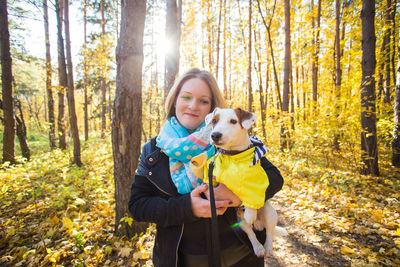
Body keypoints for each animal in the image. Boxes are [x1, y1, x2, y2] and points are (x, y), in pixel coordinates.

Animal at [190, 108, 286, 258]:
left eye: (233, 121)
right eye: (214, 120)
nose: (215, 135)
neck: (232, 156)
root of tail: (259, 223)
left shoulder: (256, 180)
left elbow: (251, 196)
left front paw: (250, 212)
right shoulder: (212, 177)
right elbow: (208, 185)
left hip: (270, 213)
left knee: (269, 233)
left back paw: (267, 247)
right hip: (240, 222)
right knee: (251, 234)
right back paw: (258, 247)